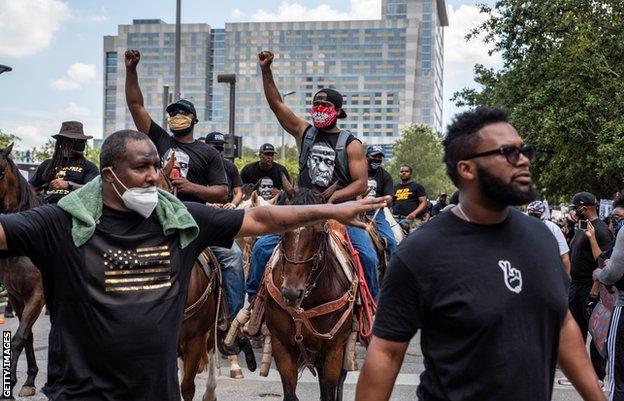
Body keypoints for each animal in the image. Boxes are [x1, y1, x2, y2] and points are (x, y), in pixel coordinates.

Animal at [264, 188, 356, 400]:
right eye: (283, 229)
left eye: (319, 232)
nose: (291, 293)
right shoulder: (281, 346)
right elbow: (290, 393)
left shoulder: (334, 351)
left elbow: (329, 393)